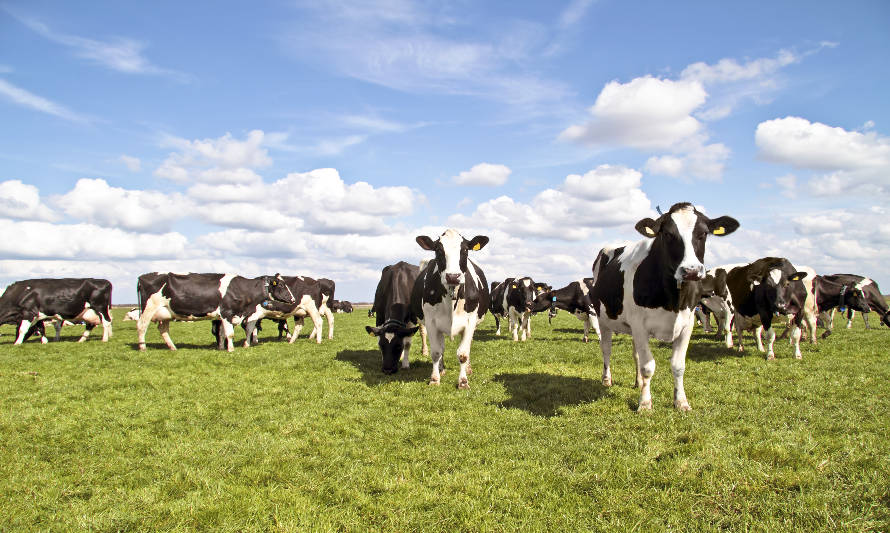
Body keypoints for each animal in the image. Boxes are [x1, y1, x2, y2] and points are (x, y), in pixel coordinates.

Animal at [136, 272, 294, 352]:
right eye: (281, 285)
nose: (292, 299)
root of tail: (142, 277)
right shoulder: (226, 312)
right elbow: (229, 333)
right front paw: (231, 349)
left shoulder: (224, 316)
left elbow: (223, 333)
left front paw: (222, 347)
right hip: (148, 309)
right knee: (142, 326)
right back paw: (142, 347)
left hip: (165, 313)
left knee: (163, 330)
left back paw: (172, 347)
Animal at [412, 228, 490, 386]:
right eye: (438, 250)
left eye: (465, 250)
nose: (453, 276)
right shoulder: (431, 322)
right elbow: (436, 352)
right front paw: (434, 379)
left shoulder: (470, 321)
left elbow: (463, 353)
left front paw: (463, 381)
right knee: (441, 348)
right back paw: (441, 370)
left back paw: (468, 369)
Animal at [588, 202, 740, 410]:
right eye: (667, 234)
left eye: (703, 233)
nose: (691, 270)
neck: (673, 300)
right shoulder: (640, 325)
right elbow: (648, 366)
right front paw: (645, 404)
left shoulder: (687, 324)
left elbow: (678, 365)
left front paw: (681, 402)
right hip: (604, 319)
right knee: (606, 349)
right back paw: (606, 379)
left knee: (636, 354)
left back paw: (637, 382)